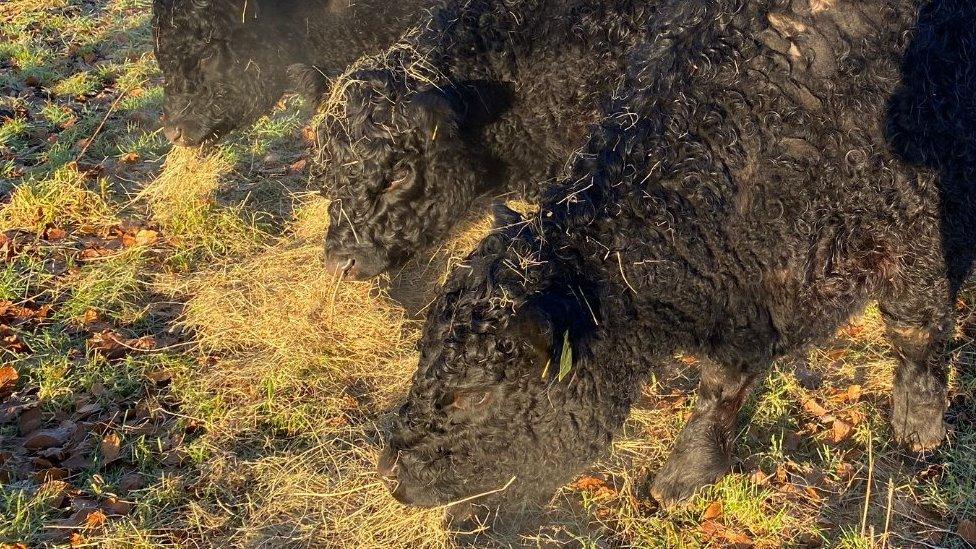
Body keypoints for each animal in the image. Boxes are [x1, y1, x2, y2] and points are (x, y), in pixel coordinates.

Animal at [378, 0, 972, 516]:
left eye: (473, 397)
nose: (390, 473)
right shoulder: (744, 294)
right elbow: (721, 386)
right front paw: (687, 473)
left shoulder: (914, 228)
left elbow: (915, 332)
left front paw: (919, 430)